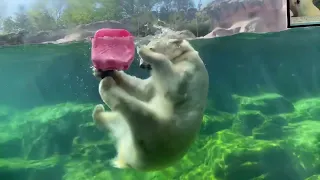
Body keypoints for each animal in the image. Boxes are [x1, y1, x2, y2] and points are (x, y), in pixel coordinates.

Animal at [91, 38, 209, 172]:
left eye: (152, 46)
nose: (141, 65)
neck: (185, 54)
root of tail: (130, 160)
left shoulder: (190, 68)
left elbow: (172, 85)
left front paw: (142, 49)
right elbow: (143, 89)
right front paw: (103, 71)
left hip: (159, 131)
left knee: (136, 111)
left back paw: (106, 86)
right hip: (130, 128)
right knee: (114, 119)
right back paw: (98, 111)